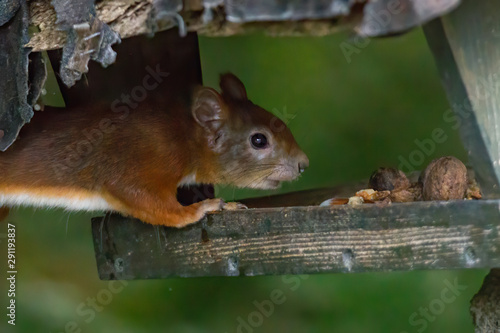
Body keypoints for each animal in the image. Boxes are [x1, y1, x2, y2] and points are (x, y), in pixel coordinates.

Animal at [0, 73, 308, 227]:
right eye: (259, 140)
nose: (303, 164)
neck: (183, 136)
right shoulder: (142, 155)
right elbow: (147, 201)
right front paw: (202, 209)